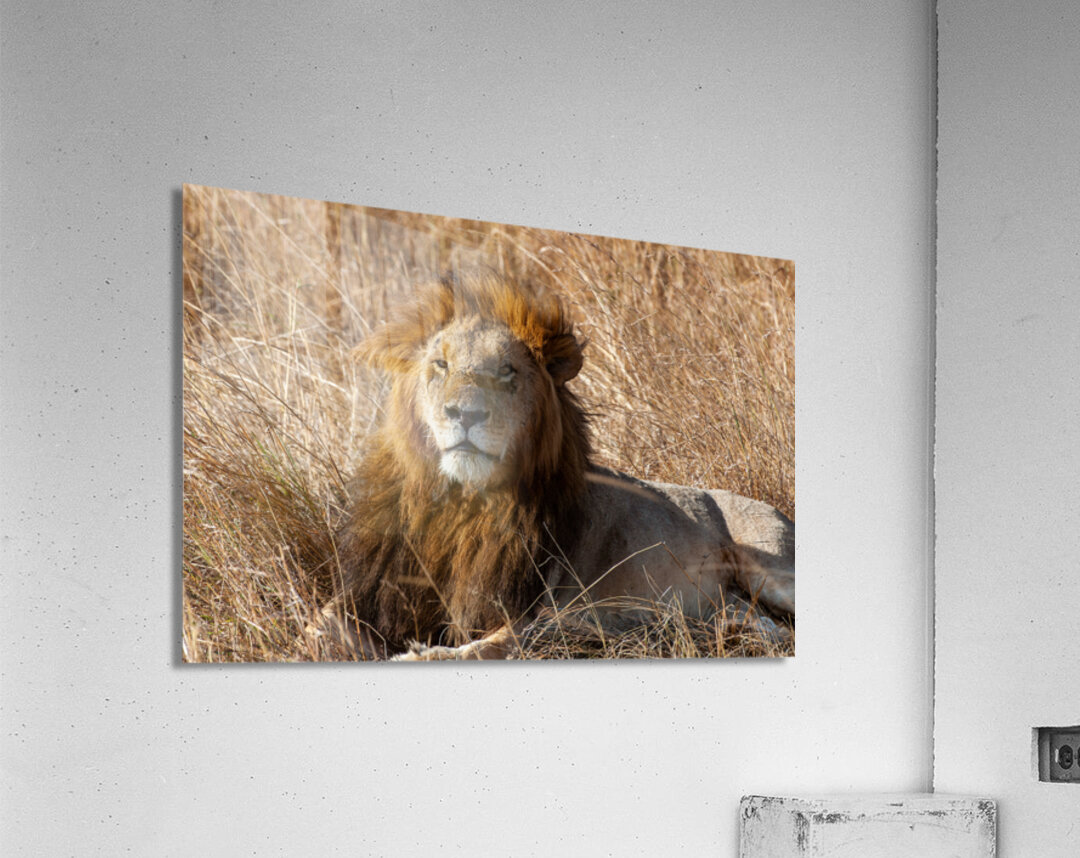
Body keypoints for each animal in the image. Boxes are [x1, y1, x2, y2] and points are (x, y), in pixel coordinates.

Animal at [316, 271, 794, 660]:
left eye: (507, 371)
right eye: (441, 363)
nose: (465, 413)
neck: (463, 506)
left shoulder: (543, 610)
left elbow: (489, 646)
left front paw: (420, 655)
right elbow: (320, 623)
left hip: (769, 568)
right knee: (767, 625)